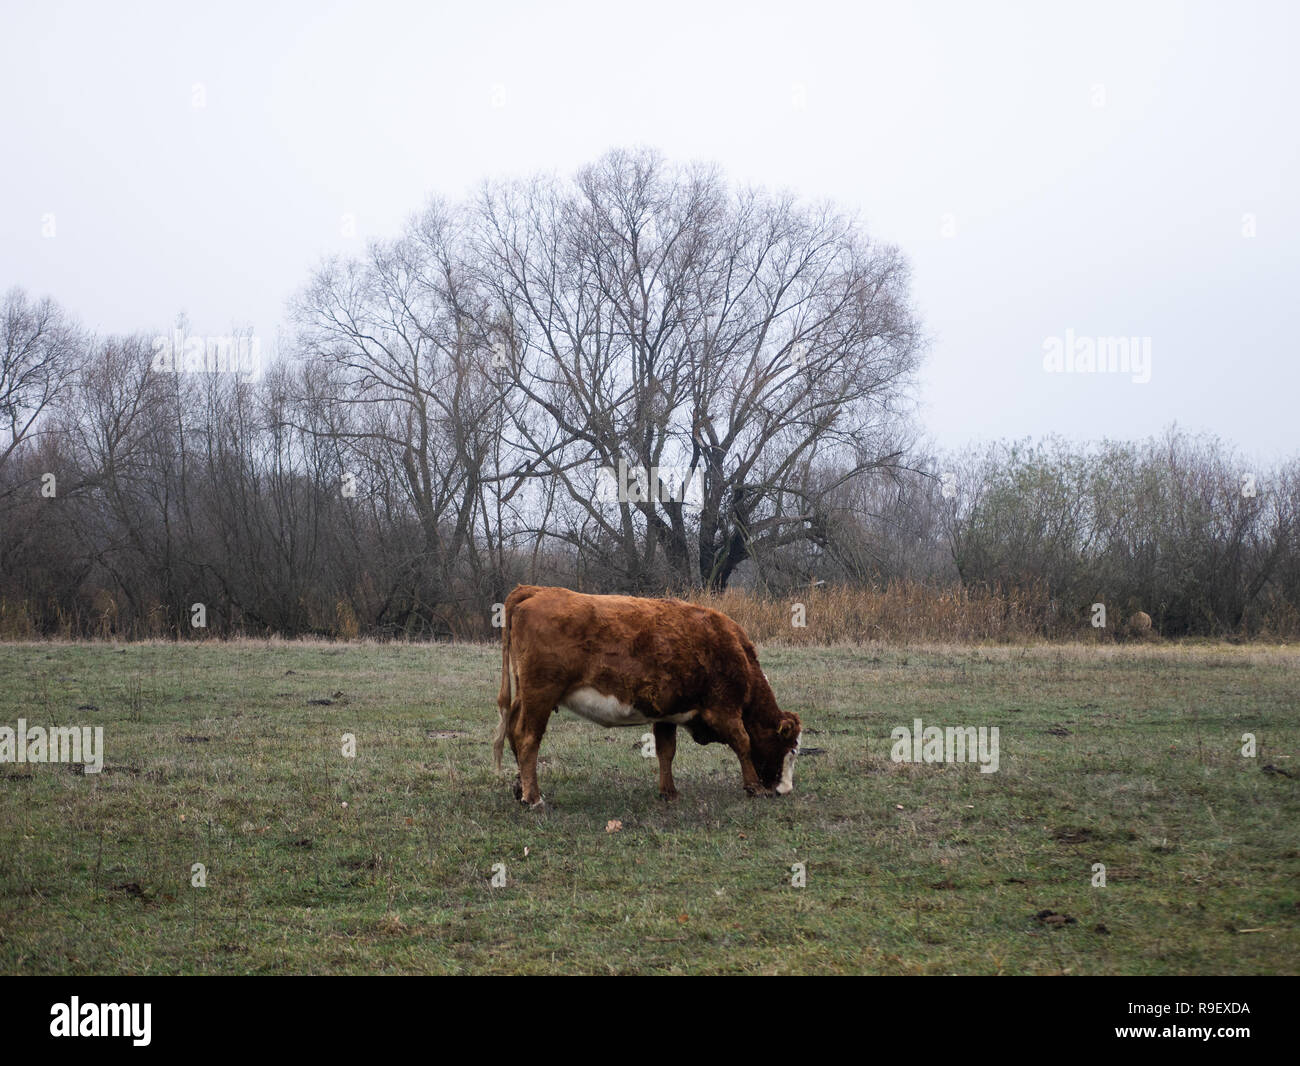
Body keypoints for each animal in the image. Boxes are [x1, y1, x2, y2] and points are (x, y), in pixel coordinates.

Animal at [491, 582, 800, 806]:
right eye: (790, 749)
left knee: (513, 733)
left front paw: (669, 792)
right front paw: (754, 787)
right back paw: (533, 798)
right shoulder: (724, 709)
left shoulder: (666, 713)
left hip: (526, 697)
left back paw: (520, 789)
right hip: (540, 695)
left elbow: (666, 751)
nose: (785, 790)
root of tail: (537, 590)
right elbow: (743, 742)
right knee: (527, 738)